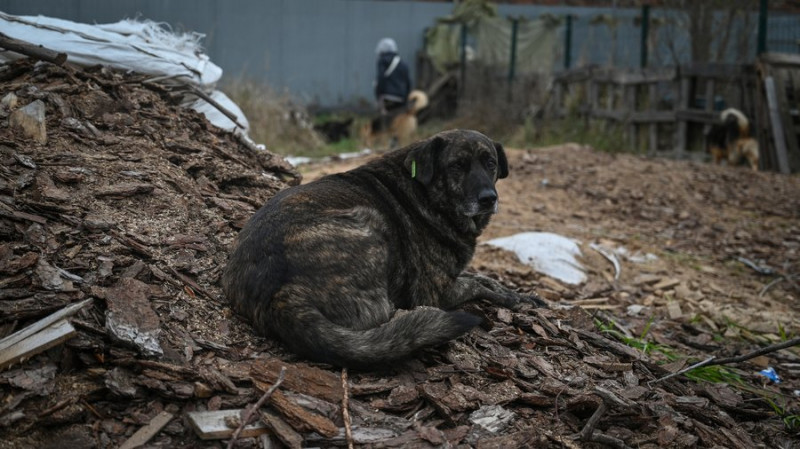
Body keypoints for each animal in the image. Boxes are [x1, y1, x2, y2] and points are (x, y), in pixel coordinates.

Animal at [222, 130, 548, 368]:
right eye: (457, 165)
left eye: (490, 163)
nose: (488, 198)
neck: (429, 195)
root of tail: (278, 292)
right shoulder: (435, 291)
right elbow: (478, 285)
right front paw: (513, 299)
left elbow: (485, 278)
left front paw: (524, 296)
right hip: (371, 222)